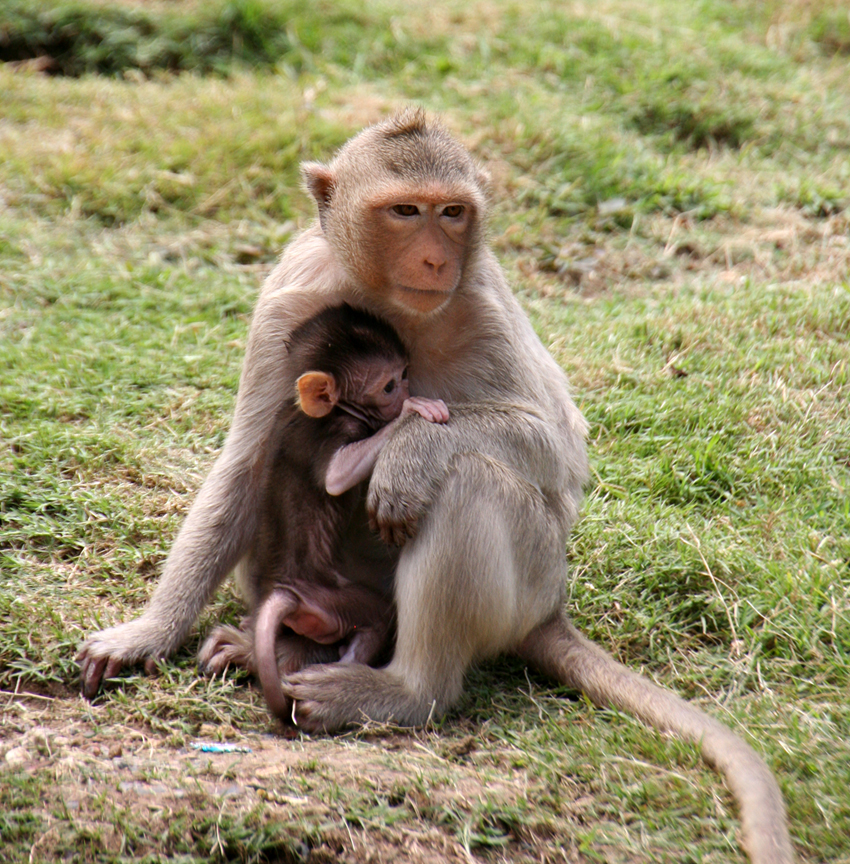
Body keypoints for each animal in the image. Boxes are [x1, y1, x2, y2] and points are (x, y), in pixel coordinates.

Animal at [78, 109, 788, 864]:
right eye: (404, 212)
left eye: (451, 213)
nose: (434, 260)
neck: (384, 298)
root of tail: (550, 609)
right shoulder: (286, 299)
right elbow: (245, 463)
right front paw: (147, 634)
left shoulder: (482, 303)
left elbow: (557, 448)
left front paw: (411, 451)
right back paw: (284, 642)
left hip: (531, 576)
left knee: (471, 481)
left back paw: (404, 689)